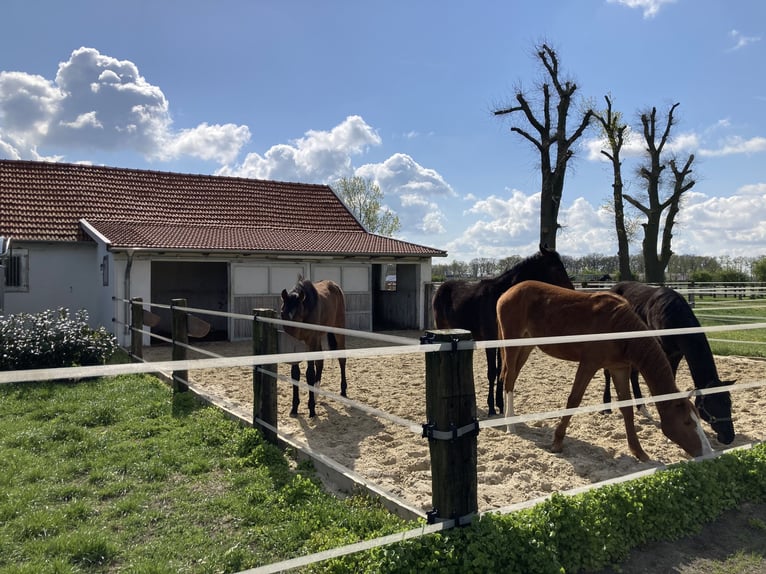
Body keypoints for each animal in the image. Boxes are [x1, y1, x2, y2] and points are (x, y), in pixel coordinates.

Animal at [280, 280, 348, 418]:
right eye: (282, 313)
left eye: (299, 315)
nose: (290, 340)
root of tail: (334, 285)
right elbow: (295, 374)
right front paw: (294, 407)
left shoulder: (310, 342)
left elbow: (309, 374)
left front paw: (311, 408)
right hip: (318, 338)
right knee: (320, 363)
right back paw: (316, 394)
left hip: (338, 330)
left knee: (341, 359)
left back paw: (343, 390)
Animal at [432, 245, 576, 416]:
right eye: (557, 268)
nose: (571, 290)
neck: (499, 297)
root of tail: (442, 286)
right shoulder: (490, 341)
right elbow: (492, 372)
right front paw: (491, 408)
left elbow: (502, 371)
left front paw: (500, 405)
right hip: (442, 327)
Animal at [498, 282, 712, 466]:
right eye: (686, 422)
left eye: (698, 420)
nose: (708, 453)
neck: (619, 327)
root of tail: (508, 292)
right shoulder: (588, 364)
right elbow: (574, 399)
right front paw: (557, 442)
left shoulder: (619, 369)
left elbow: (627, 408)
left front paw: (639, 452)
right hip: (512, 344)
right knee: (509, 378)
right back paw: (510, 426)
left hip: (526, 345)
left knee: (512, 377)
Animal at [608, 282, 736, 446]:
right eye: (713, 405)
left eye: (728, 403)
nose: (729, 437)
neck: (674, 315)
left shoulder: (676, 354)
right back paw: (606, 408)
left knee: (633, 374)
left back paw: (643, 409)